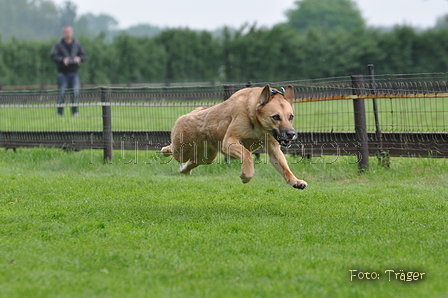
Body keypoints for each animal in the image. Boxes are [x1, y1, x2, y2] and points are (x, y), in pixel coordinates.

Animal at [161, 85, 308, 190]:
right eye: (276, 117)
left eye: (291, 117)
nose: (291, 134)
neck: (254, 115)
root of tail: (189, 114)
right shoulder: (229, 142)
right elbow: (247, 155)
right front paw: (245, 176)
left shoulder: (273, 148)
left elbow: (284, 167)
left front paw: (295, 181)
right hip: (182, 150)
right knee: (175, 151)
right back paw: (164, 151)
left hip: (207, 157)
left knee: (193, 161)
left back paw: (184, 170)